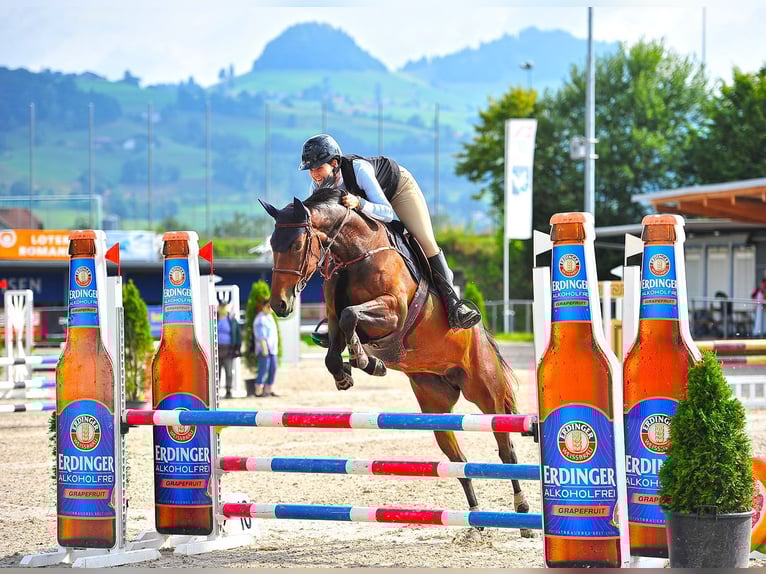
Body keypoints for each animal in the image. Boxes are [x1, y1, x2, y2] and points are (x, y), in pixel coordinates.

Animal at [259, 188, 532, 534]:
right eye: (271, 244)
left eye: (296, 245)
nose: (279, 305)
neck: (356, 253)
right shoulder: (334, 318)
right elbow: (335, 345)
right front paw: (351, 370)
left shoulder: (393, 312)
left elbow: (352, 316)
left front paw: (365, 360)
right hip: (435, 407)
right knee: (457, 459)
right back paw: (475, 520)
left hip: (486, 394)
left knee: (505, 449)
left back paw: (522, 513)